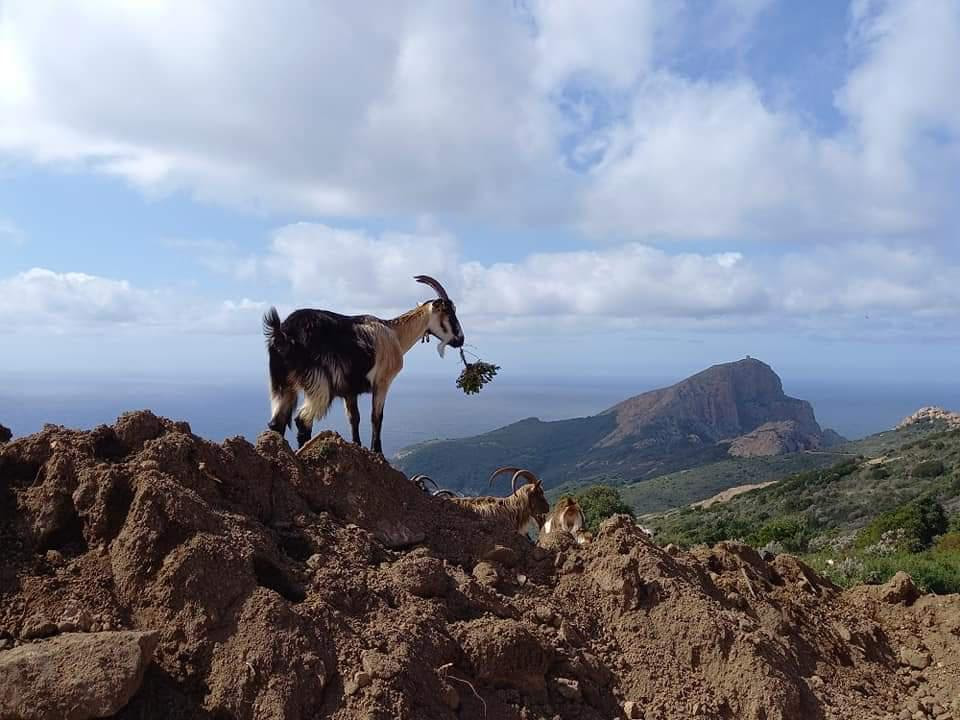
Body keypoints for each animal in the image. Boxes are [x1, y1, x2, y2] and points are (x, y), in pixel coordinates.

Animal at [258, 272, 462, 452]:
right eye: (448, 313)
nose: (460, 339)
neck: (395, 334)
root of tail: (283, 334)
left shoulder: (349, 391)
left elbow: (354, 418)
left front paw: (358, 445)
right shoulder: (382, 381)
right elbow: (376, 417)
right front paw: (377, 452)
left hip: (282, 383)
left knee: (277, 423)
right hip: (318, 383)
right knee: (302, 421)